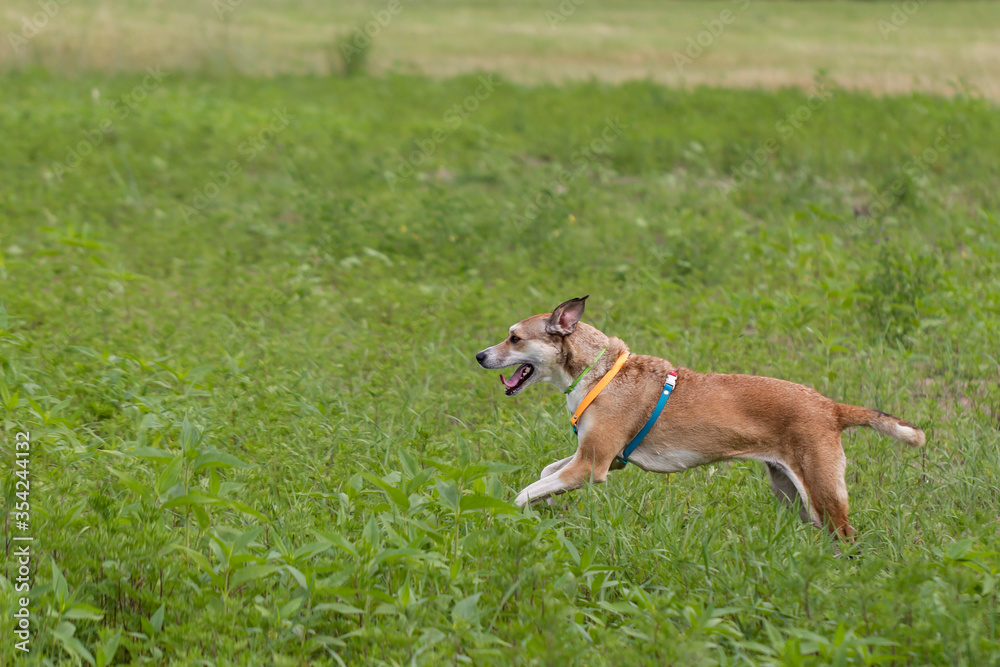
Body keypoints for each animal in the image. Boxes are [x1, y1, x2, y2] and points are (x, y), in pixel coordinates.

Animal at [472, 298, 924, 536]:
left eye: (514, 338)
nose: (479, 356)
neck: (595, 371)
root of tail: (831, 406)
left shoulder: (592, 465)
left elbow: (524, 491)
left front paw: (511, 512)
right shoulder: (600, 459)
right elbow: (545, 473)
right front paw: (543, 503)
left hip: (822, 491)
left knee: (846, 536)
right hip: (790, 488)